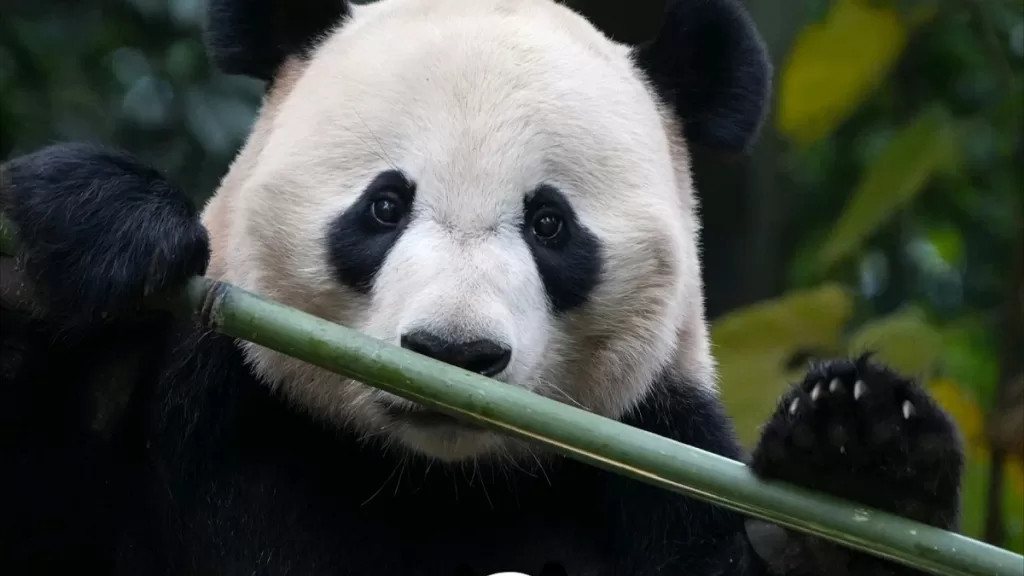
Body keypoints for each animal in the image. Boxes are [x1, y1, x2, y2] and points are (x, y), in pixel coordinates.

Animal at [0, 0, 965, 575]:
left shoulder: (657, 460)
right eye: (385, 205)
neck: (434, 479)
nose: (453, 352)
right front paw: (99, 228)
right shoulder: (213, 414)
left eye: (550, 224)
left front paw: (859, 454)